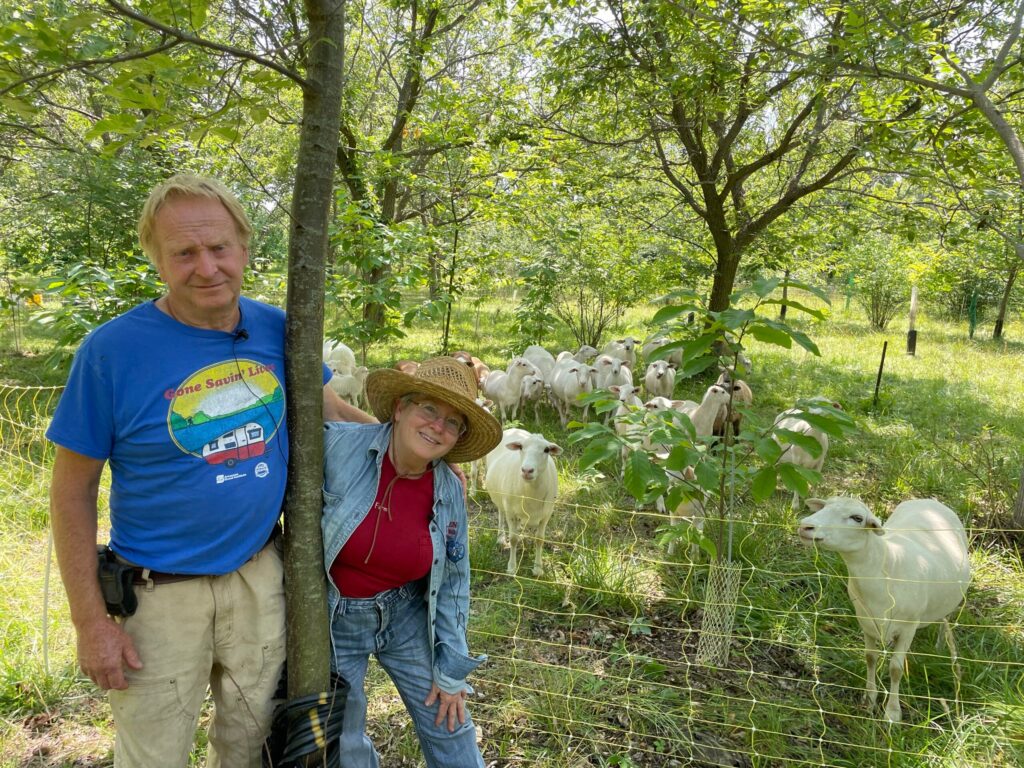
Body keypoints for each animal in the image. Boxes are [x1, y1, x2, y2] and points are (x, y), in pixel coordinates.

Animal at [485, 428, 565, 577]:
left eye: (546, 449)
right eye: (521, 447)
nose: (527, 470)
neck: (531, 493)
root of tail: (513, 429)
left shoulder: (546, 514)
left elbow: (540, 539)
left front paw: (538, 569)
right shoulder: (511, 511)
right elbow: (513, 539)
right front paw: (511, 568)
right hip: (500, 497)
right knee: (501, 513)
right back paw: (500, 538)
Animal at [798, 495, 966, 724]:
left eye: (857, 518)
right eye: (824, 506)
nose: (805, 526)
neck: (886, 564)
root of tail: (929, 500)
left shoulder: (909, 626)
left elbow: (896, 668)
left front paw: (893, 713)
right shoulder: (865, 620)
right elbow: (870, 658)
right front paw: (869, 701)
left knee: (945, 618)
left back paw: (941, 646)